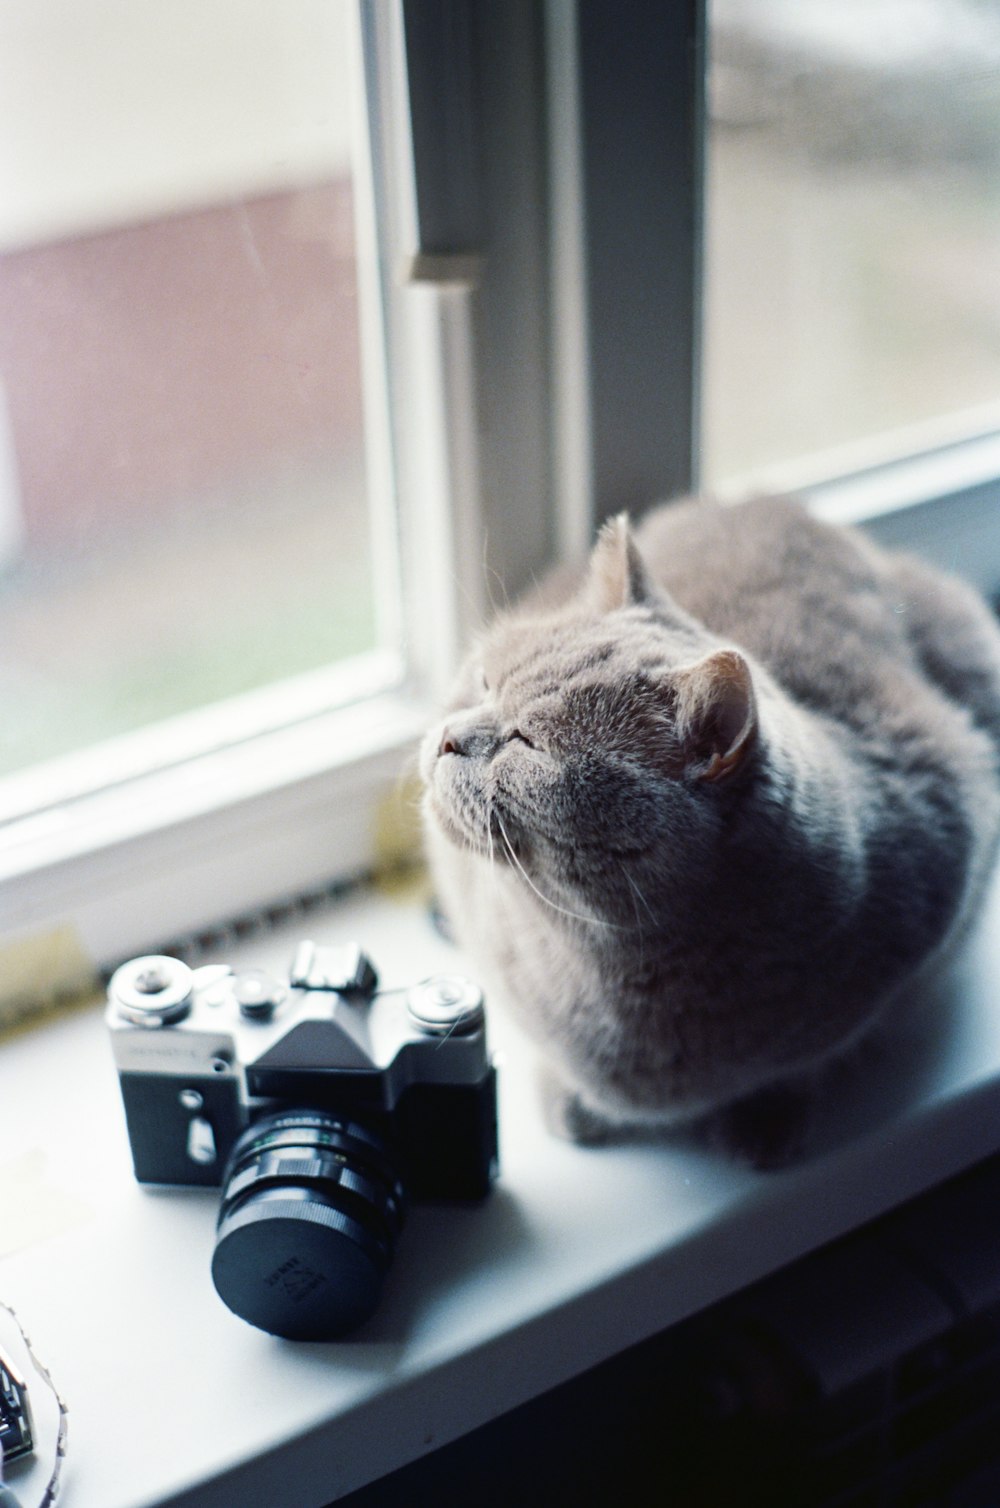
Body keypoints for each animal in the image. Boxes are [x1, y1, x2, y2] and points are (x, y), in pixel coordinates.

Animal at [419, 494, 1000, 1164]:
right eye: (484, 682)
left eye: (527, 744)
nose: (447, 737)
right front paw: (570, 1101)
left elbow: (812, 1059)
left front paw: (767, 1117)